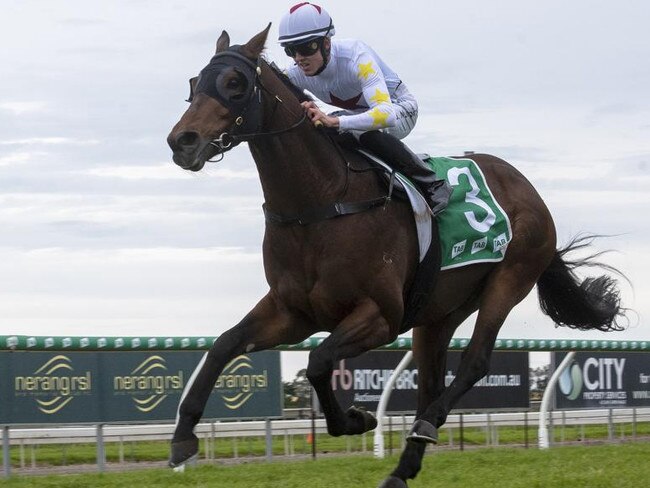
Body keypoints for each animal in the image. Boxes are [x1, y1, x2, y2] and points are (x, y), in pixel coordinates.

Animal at [165, 26, 620, 488]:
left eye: (234, 83)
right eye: (194, 84)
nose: (182, 141)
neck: (321, 202)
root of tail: (530, 191)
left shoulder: (380, 315)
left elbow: (318, 361)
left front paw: (356, 419)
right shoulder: (292, 311)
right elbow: (224, 345)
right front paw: (183, 437)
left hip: (510, 279)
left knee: (473, 363)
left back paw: (426, 426)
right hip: (439, 310)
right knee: (431, 379)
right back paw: (404, 467)